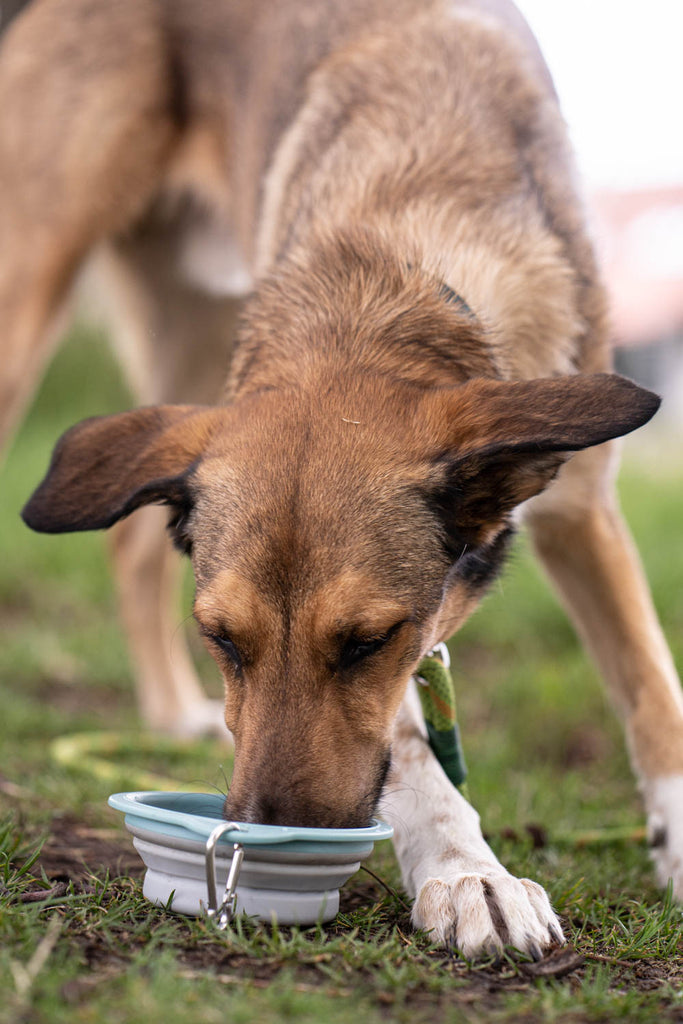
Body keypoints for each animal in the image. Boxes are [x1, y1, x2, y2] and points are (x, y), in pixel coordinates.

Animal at [1, 0, 683, 958]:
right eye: (221, 639)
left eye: (366, 642)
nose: (260, 834)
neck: (393, 267)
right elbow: (416, 753)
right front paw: (466, 871)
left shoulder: (582, 511)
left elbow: (655, 694)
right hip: (33, 289)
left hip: (200, 341)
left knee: (132, 552)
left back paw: (170, 714)